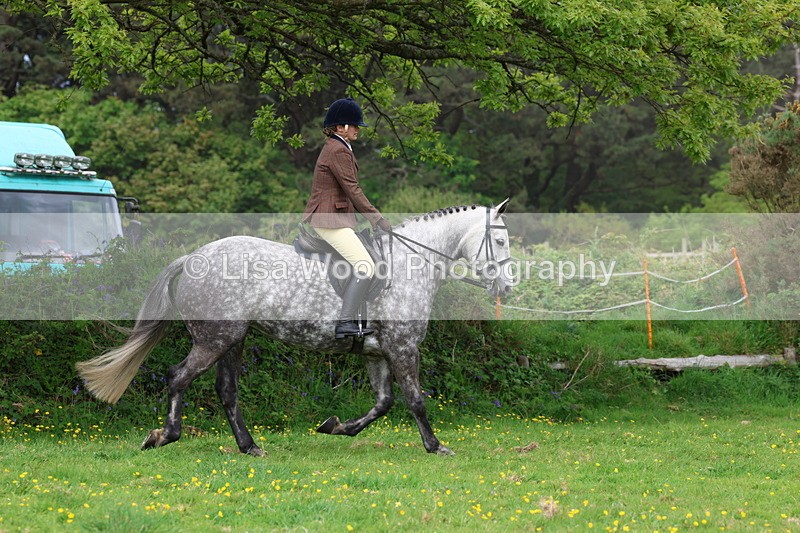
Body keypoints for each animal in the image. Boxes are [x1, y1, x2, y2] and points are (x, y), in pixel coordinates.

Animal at [76, 199, 513, 456]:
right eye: (501, 241)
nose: (508, 288)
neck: (411, 264)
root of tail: (193, 257)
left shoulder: (379, 351)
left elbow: (383, 402)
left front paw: (337, 427)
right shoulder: (404, 347)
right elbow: (416, 400)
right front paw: (435, 446)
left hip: (233, 339)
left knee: (226, 391)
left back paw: (249, 447)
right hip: (214, 339)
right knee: (178, 377)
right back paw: (164, 435)